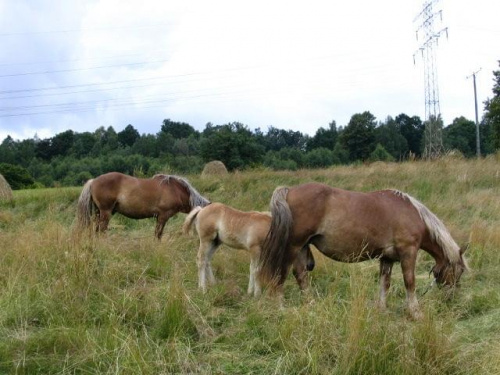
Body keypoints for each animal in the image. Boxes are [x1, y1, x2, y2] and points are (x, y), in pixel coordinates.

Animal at [77, 173, 210, 239]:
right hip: (106, 212)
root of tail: (93, 181)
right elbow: (158, 235)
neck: (175, 190)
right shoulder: (163, 217)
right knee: (102, 230)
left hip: (99, 213)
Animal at [182, 204, 314, 298]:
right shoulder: (255, 249)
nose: (311, 265)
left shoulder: (260, 252)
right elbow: (256, 270)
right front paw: (257, 294)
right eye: (305, 245)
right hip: (206, 240)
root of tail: (201, 210)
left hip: (215, 242)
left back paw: (214, 284)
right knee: (201, 260)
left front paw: (250, 292)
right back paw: (202, 289)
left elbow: (252, 269)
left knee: (207, 261)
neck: (269, 228)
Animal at [262, 184, 468, 318]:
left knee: (301, 275)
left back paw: (311, 304)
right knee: (281, 274)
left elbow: (384, 283)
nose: (451, 298)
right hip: (293, 247)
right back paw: (280, 307)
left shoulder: (387, 258)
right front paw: (415, 312)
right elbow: (410, 282)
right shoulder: (408, 252)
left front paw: (382, 309)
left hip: (302, 248)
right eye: (459, 271)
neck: (412, 214)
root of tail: (289, 190)